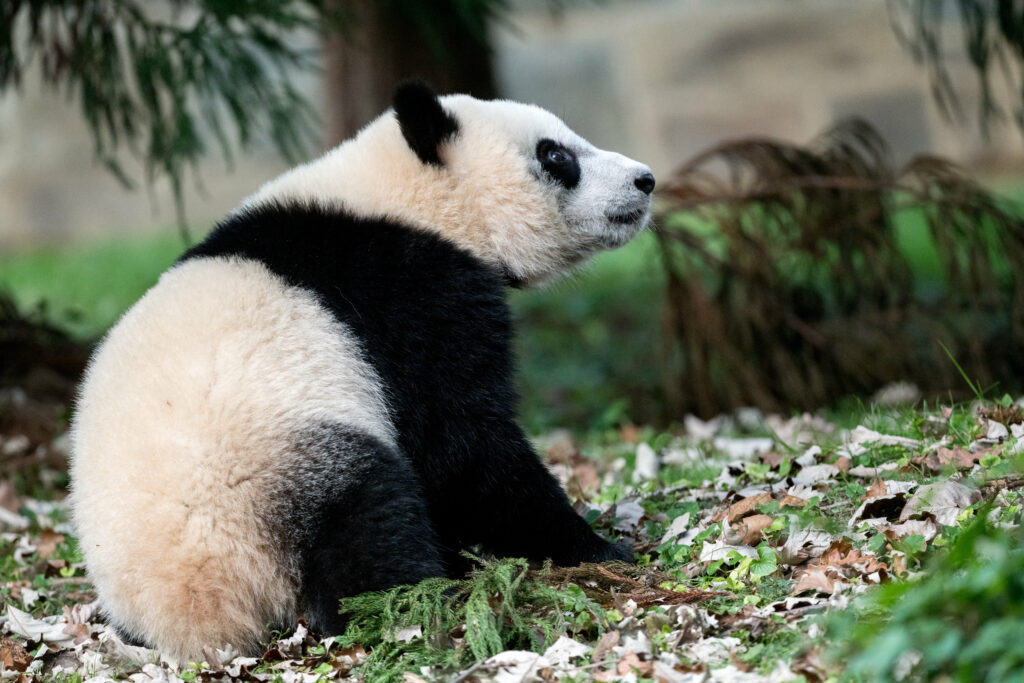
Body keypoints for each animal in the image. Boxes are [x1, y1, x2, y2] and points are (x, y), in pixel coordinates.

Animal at [69, 81, 655, 660]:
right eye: (555, 155)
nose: (645, 180)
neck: (413, 200)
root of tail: (190, 618)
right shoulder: (409, 294)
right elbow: (464, 445)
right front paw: (596, 547)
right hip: (272, 474)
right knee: (367, 522)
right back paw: (423, 599)